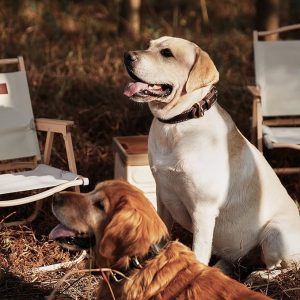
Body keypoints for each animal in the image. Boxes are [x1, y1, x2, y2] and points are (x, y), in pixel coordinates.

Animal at [122, 36, 300, 274]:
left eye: (167, 53)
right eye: (149, 45)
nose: (127, 56)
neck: (178, 123)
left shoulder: (203, 210)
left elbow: (198, 253)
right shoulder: (162, 195)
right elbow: (160, 240)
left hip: (275, 233)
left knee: (280, 269)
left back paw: (258, 276)